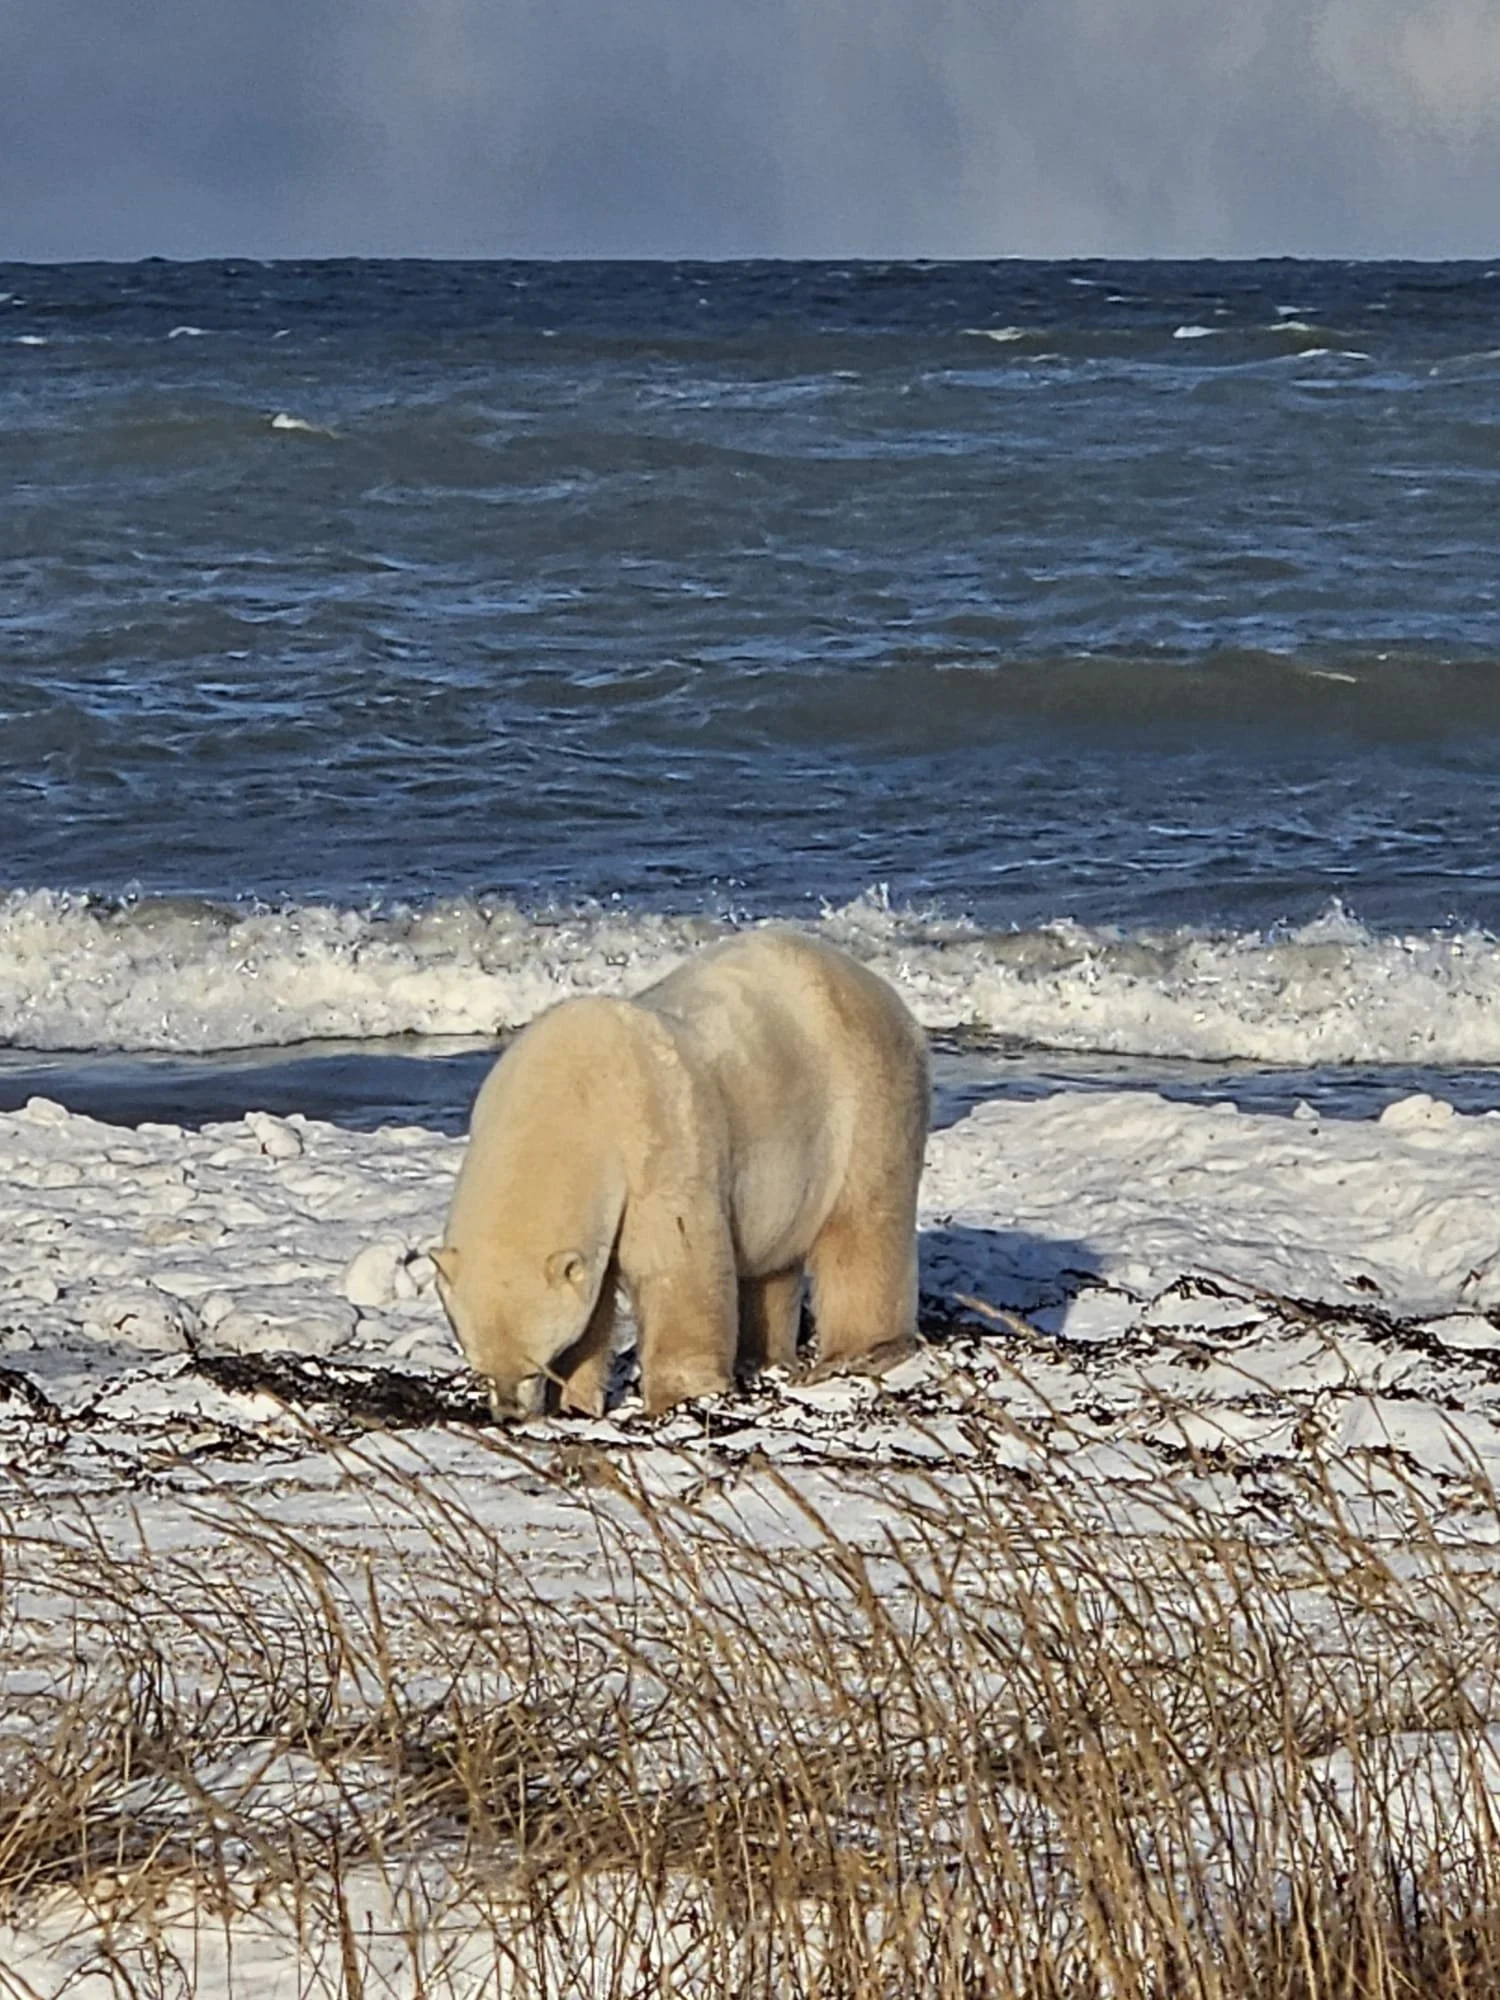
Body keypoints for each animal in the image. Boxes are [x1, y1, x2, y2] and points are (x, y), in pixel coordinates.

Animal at [432, 927, 930, 1421]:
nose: (509, 1413)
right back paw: (762, 1355)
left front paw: (680, 1396)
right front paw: (574, 1401)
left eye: (533, 1365)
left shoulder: (656, 1139)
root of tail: (878, 986)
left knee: (864, 1227)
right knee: (773, 1262)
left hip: (867, 1099)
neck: (567, 1094)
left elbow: (675, 1262)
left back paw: (858, 1352)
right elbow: (594, 1304)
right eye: (479, 1364)